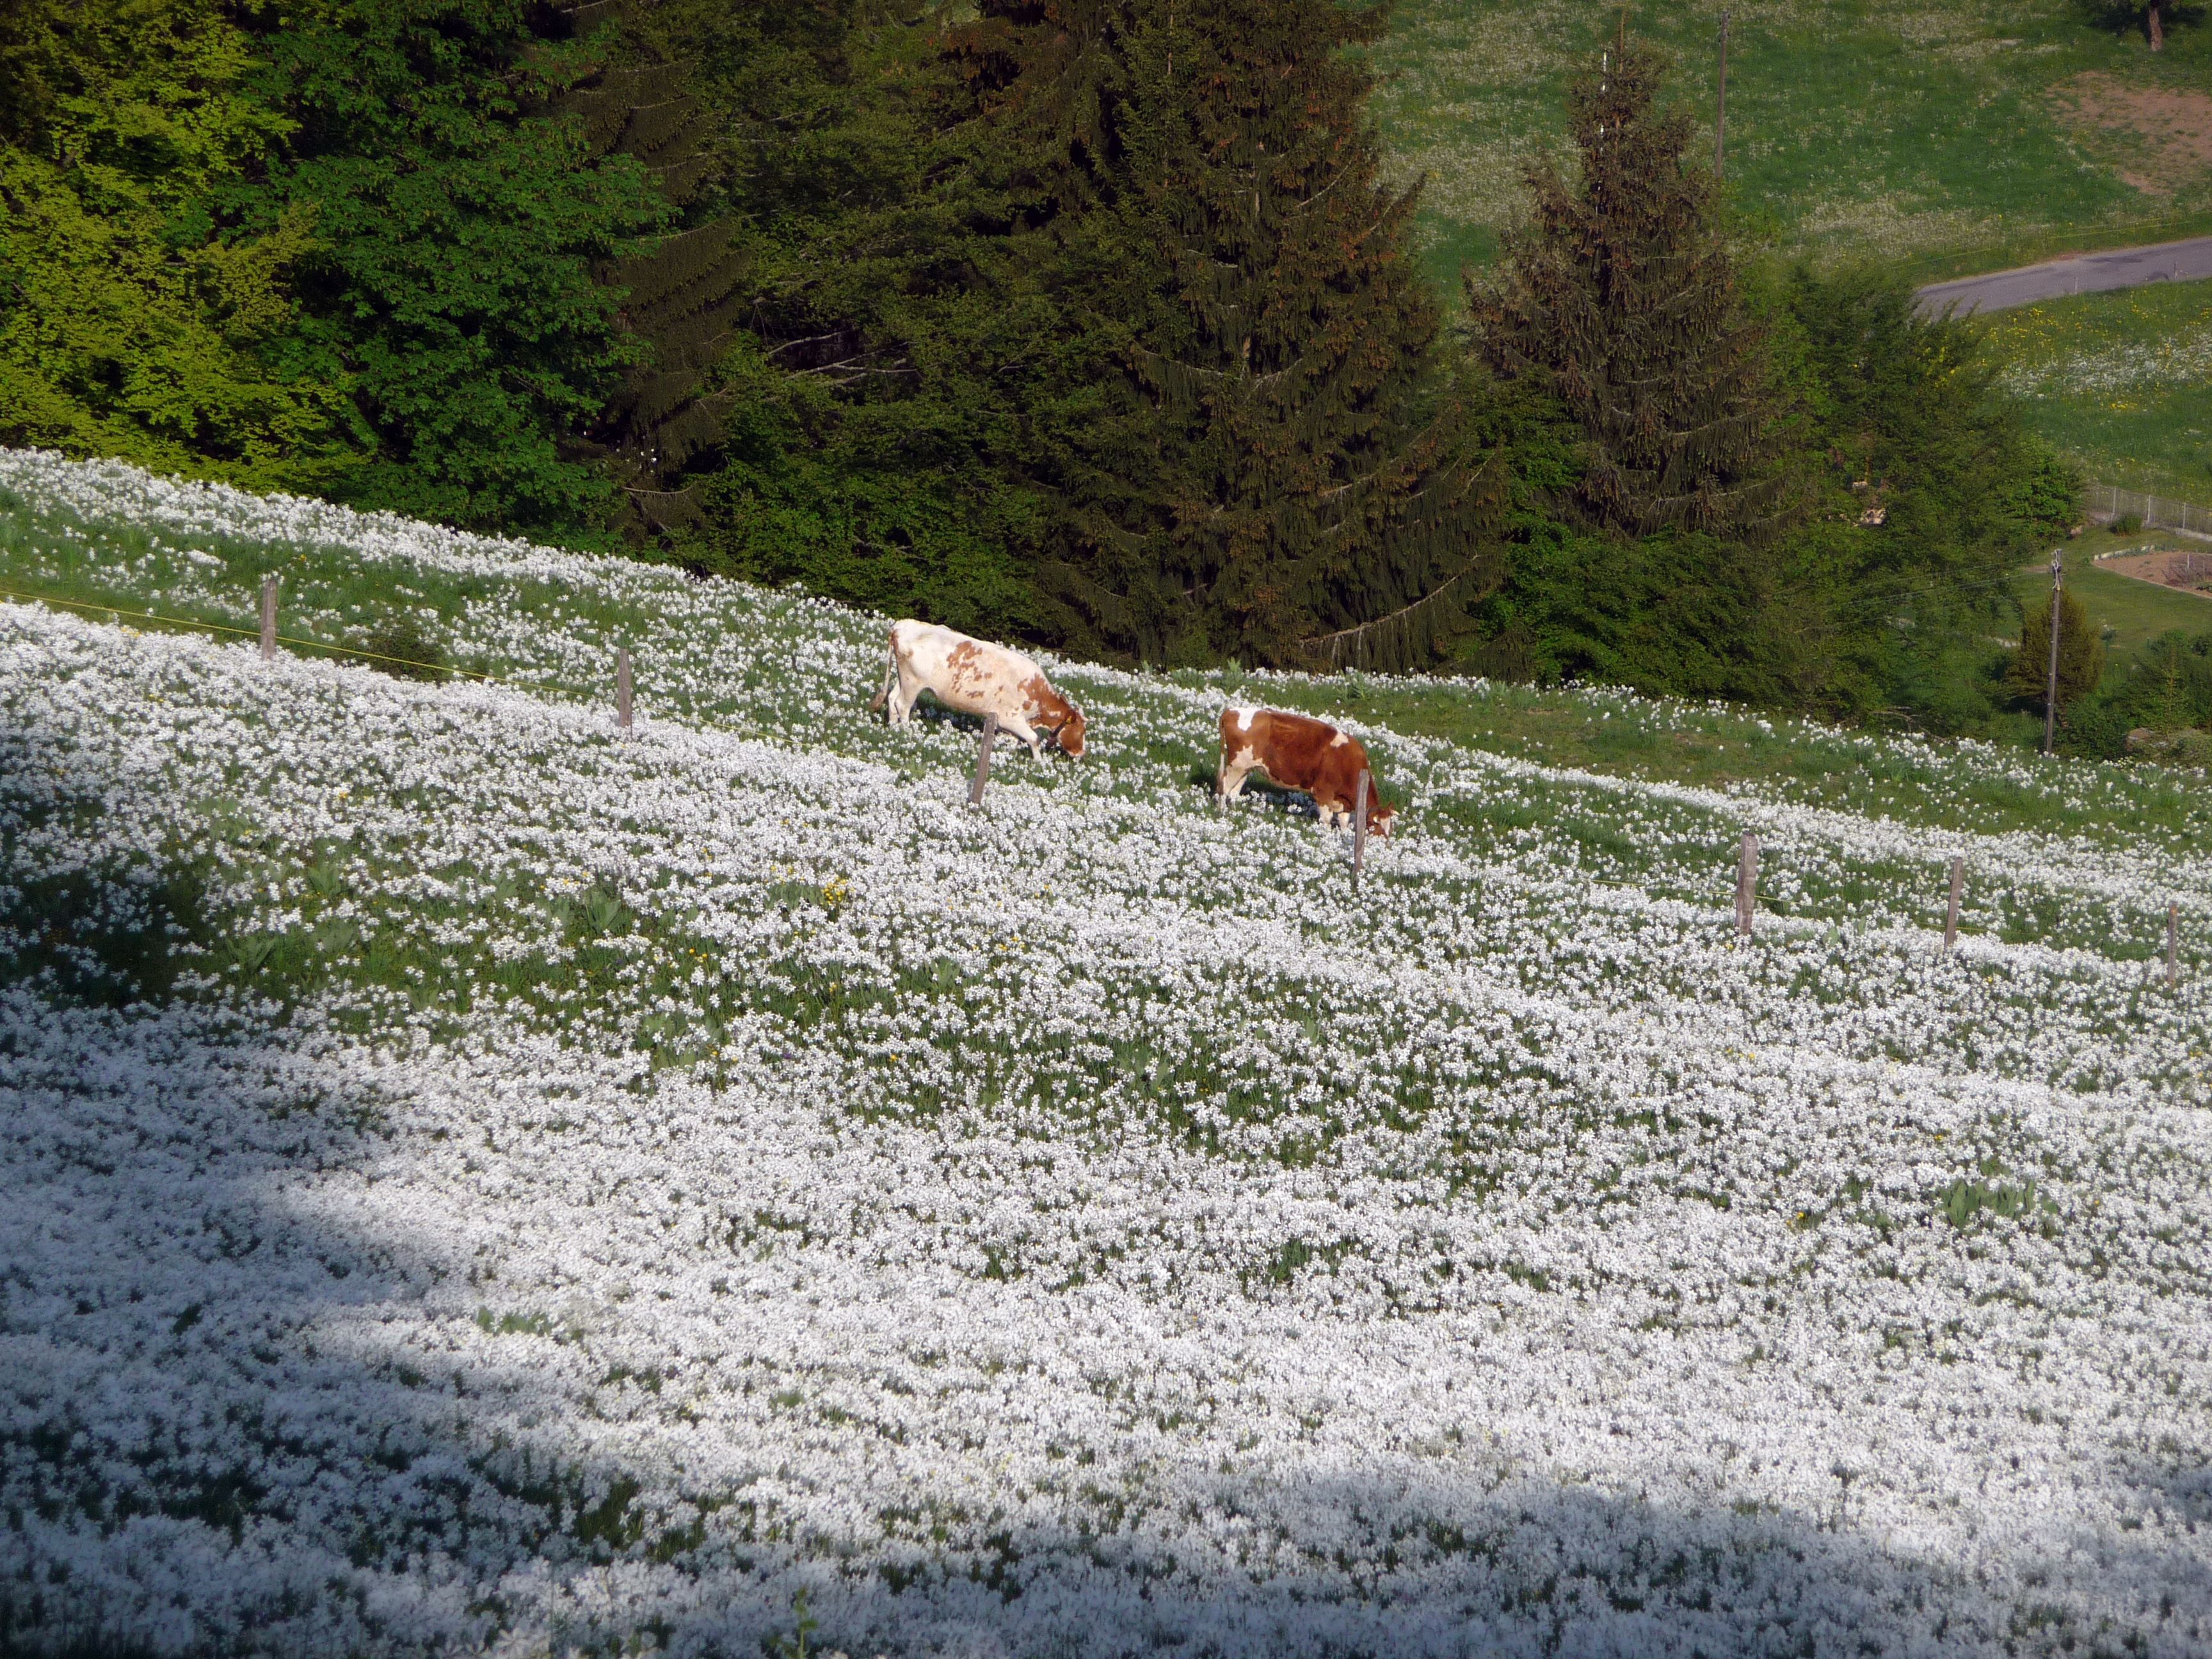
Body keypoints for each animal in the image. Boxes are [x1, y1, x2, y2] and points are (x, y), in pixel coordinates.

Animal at [868, 619, 1087, 760]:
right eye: (1082, 731)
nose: (1081, 753)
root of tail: (902, 625)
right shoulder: (1010, 717)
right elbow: (1034, 739)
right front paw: (1039, 764)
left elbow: (1012, 742)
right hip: (913, 682)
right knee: (902, 705)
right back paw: (907, 734)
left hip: (903, 678)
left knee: (892, 699)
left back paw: (893, 729)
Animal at [1216, 706, 1396, 836]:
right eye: (1376, 826)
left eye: (1390, 828)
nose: (1383, 845)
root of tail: (1231, 711)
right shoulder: (1323, 791)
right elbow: (1327, 819)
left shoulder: (1343, 802)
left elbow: (1343, 822)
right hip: (1236, 765)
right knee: (1224, 787)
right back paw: (1222, 812)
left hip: (1244, 767)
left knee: (1234, 791)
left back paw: (1234, 813)